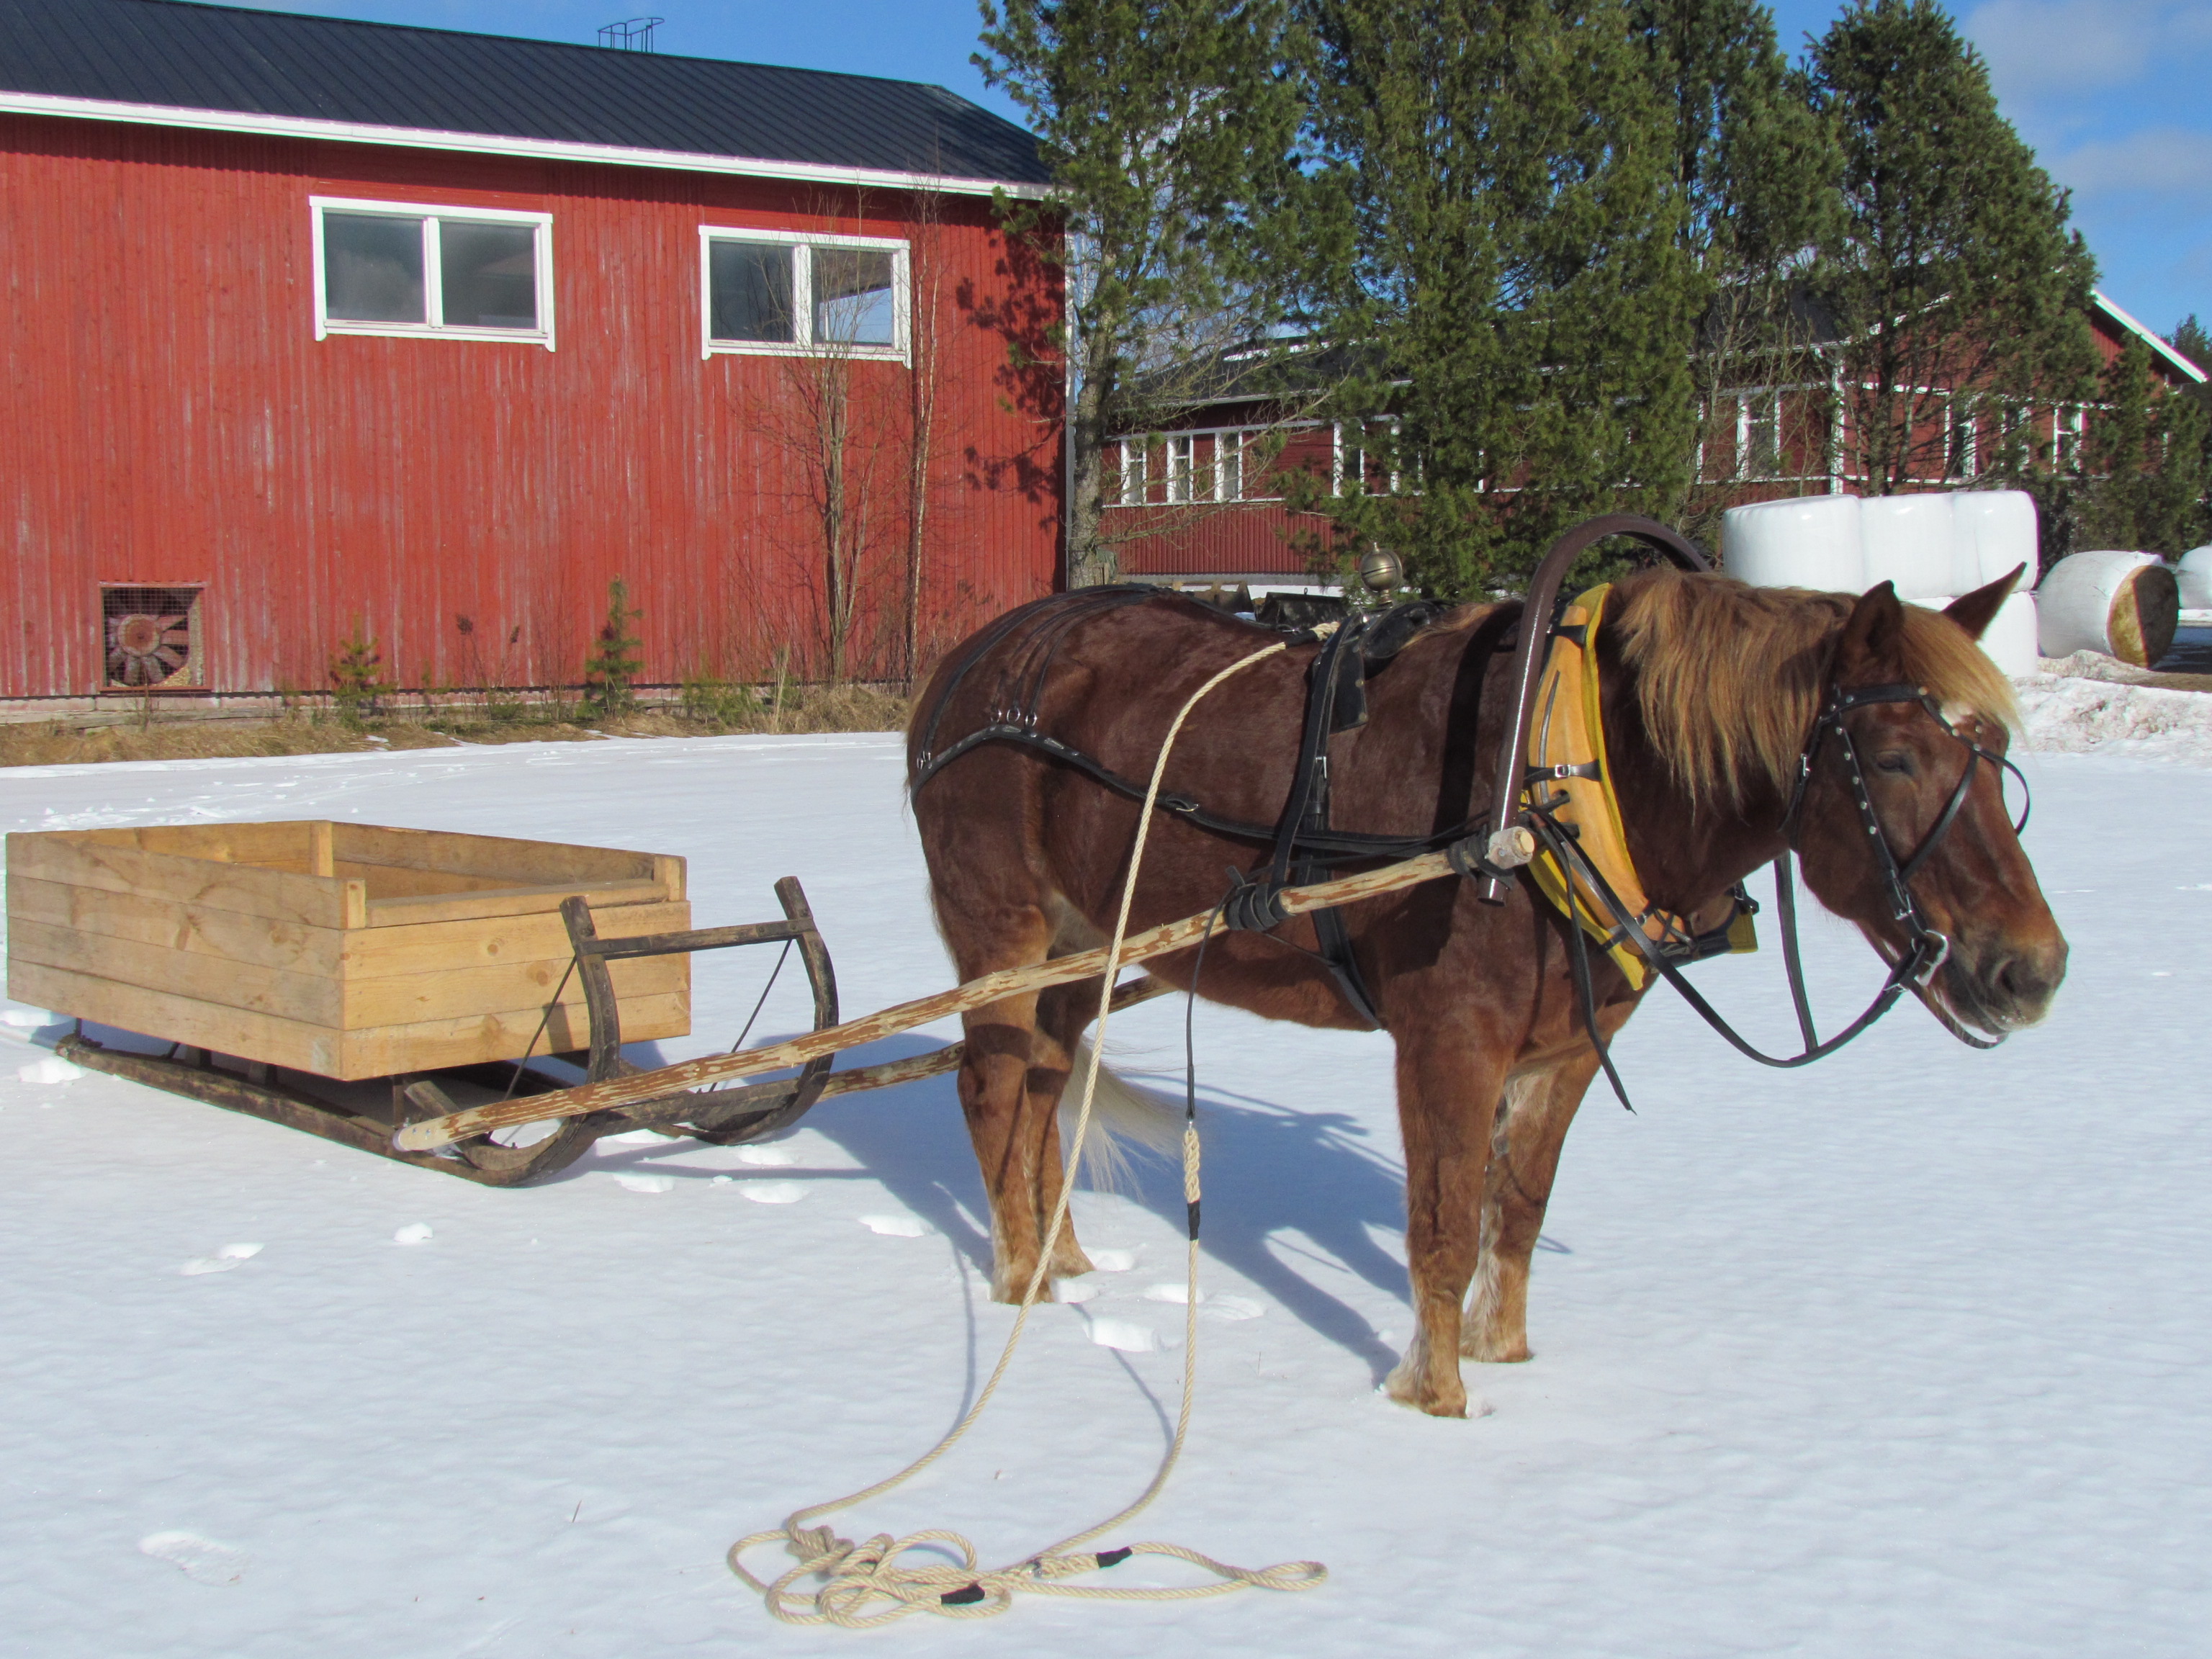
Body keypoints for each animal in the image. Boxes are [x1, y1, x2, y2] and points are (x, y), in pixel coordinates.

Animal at [904, 563, 2066, 1418]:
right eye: (1896, 758)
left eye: (1998, 751)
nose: (2032, 968)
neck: (1563, 785)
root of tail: (968, 664)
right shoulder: (1448, 1041)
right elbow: (1446, 1224)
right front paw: (1437, 1400)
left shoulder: (1563, 1053)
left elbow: (1517, 1212)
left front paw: (1503, 1352)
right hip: (1004, 935)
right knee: (991, 1092)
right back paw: (1017, 1283)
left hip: (1082, 952)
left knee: (1044, 1091)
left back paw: (1063, 1264)